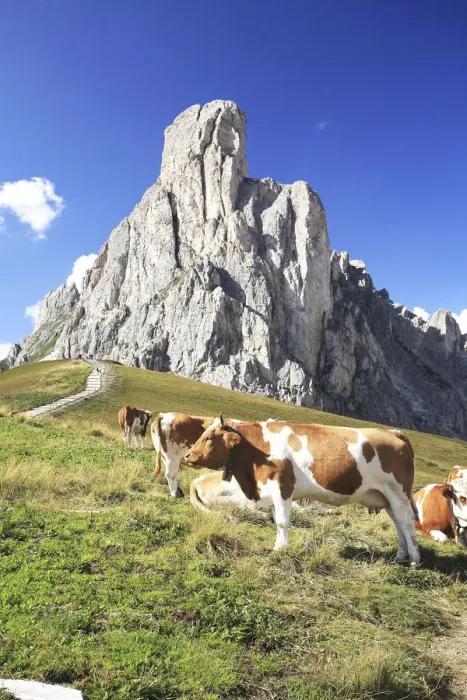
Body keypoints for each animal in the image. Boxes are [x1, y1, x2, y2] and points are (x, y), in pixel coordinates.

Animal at [184, 417, 421, 565]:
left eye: (208, 438)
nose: (187, 456)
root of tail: (393, 432)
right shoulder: (273, 493)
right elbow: (276, 520)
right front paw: (279, 545)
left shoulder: (283, 488)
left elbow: (282, 521)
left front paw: (280, 549)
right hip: (387, 498)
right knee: (399, 524)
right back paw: (400, 556)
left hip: (398, 493)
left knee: (407, 523)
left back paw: (414, 560)